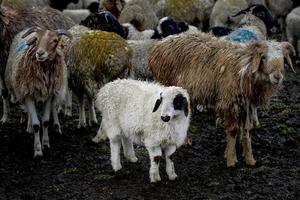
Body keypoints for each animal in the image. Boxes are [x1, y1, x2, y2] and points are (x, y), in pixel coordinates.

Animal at [4, 27, 71, 157]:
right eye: (36, 39)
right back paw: (29, 127)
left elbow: (45, 121)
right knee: (30, 114)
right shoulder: (28, 94)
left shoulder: (50, 95)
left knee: (53, 109)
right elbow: (36, 124)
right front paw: (38, 150)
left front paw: (46, 143)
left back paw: (57, 127)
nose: (40, 53)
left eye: (55, 40)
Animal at [149, 32, 294, 167]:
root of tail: (160, 44)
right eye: (263, 57)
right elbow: (233, 130)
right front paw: (231, 159)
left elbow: (247, 130)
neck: (244, 66)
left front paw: (249, 159)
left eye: (283, 58)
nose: (277, 77)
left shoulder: (247, 105)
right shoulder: (230, 102)